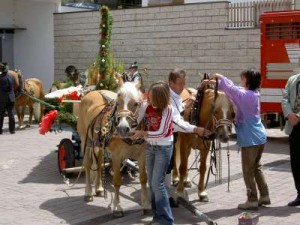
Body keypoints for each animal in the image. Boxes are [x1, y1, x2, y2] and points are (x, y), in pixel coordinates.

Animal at [77, 82, 150, 216]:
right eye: (118, 103)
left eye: (136, 103)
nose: (122, 128)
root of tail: (91, 92)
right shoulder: (116, 156)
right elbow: (117, 181)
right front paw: (117, 207)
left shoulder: (141, 155)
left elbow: (143, 178)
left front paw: (146, 205)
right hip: (86, 139)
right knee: (88, 164)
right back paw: (88, 193)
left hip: (99, 145)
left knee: (99, 163)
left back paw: (99, 188)